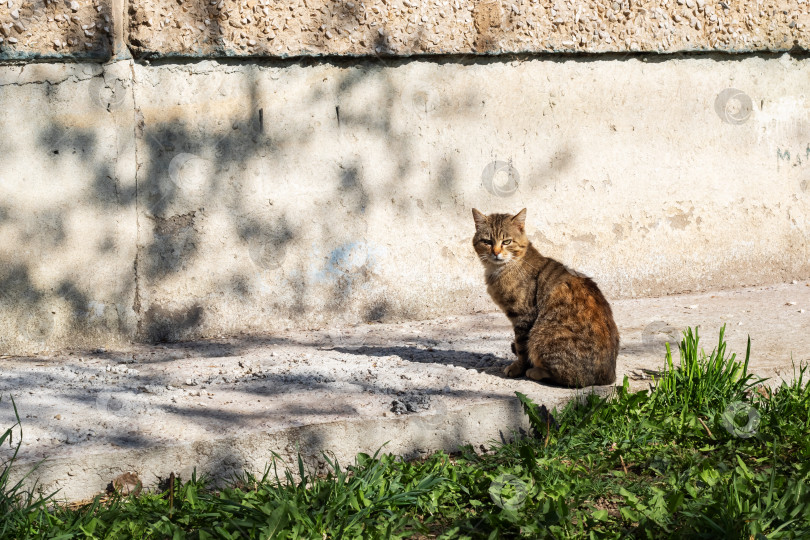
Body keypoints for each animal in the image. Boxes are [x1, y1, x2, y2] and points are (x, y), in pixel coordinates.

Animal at [470, 208, 616, 388]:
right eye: (487, 241)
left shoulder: (523, 317)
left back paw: (535, 371)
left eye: (507, 241)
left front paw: (518, 368)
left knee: (569, 378)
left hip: (541, 336)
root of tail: (609, 376)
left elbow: (522, 348)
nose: (496, 253)